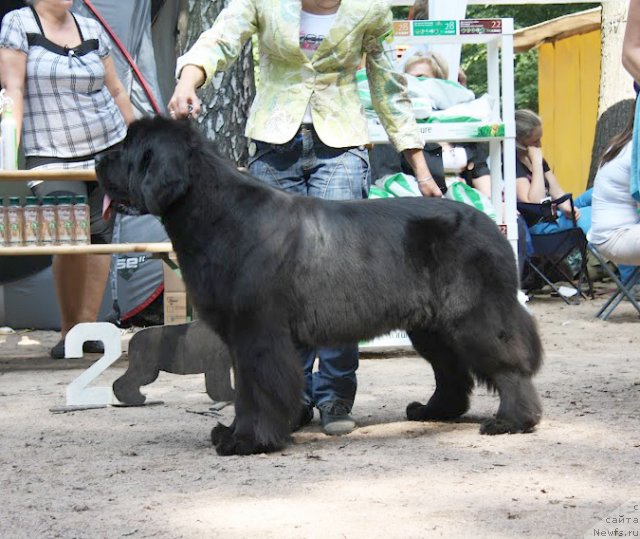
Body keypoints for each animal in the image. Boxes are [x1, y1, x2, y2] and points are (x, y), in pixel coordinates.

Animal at [97, 117, 544, 456]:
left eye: (127, 149)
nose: (98, 159)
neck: (215, 213)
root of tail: (491, 224)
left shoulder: (258, 332)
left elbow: (258, 389)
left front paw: (249, 441)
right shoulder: (241, 337)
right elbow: (244, 392)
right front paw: (234, 432)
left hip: (473, 314)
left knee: (508, 364)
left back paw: (513, 419)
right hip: (431, 326)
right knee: (450, 370)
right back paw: (435, 411)